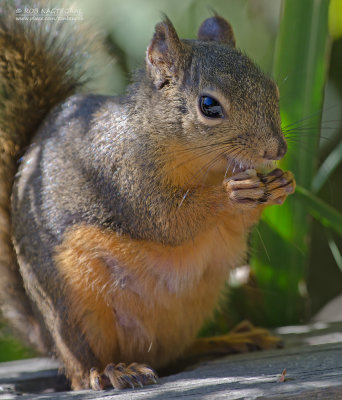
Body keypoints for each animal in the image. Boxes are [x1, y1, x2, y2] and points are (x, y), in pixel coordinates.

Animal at [0, 0, 294, 390]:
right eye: (209, 105)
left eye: (271, 88)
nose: (277, 150)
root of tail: (46, 338)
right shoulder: (122, 178)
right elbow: (167, 221)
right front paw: (229, 193)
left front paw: (282, 184)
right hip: (75, 307)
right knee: (81, 370)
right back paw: (109, 371)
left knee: (171, 354)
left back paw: (226, 339)